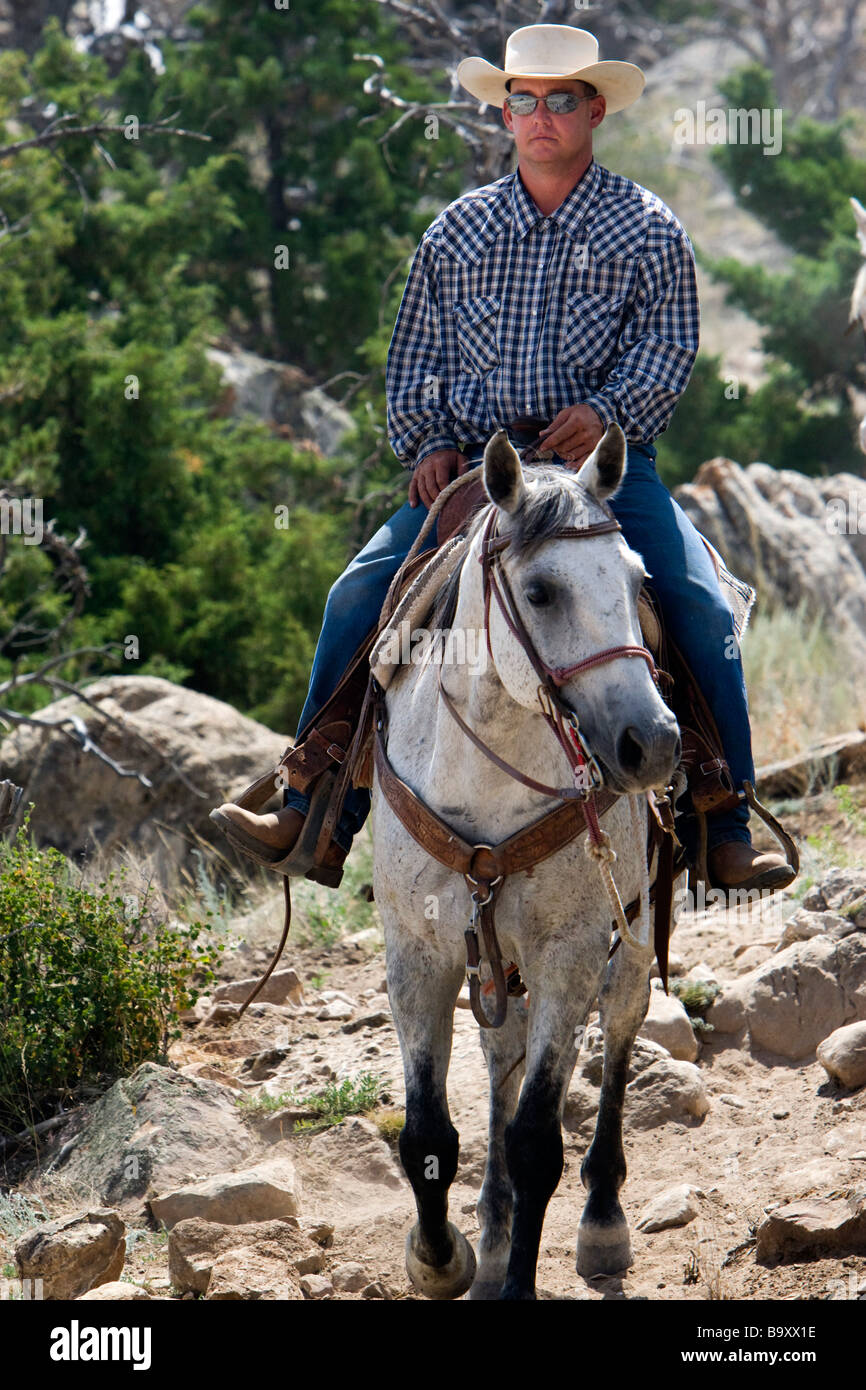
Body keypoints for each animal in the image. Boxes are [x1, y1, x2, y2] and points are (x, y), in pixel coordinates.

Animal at [369, 425, 681, 1301]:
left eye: (639, 581)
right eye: (540, 592)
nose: (653, 744)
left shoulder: (569, 950)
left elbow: (539, 1139)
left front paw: (515, 1277)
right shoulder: (419, 951)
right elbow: (427, 1134)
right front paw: (441, 1258)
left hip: (631, 931)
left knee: (618, 1028)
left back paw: (602, 1218)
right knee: (502, 1060)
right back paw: (494, 1225)